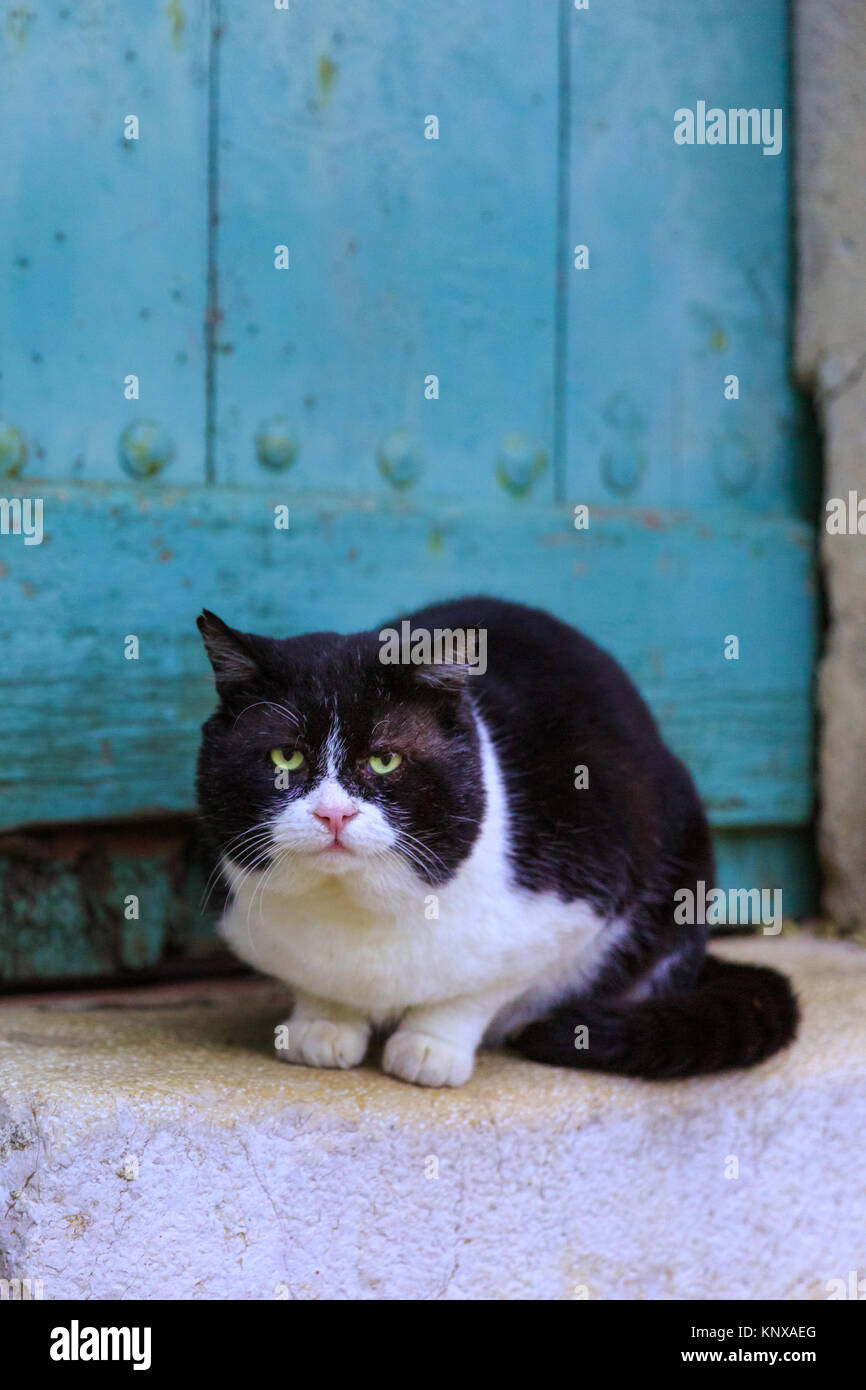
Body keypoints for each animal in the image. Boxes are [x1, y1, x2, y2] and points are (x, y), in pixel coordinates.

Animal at [195, 594, 800, 1084]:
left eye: (385, 759)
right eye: (285, 757)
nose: (333, 814)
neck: (351, 908)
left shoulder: (575, 901)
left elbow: (477, 989)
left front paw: (429, 1048)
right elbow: (316, 985)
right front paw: (321, 1026)